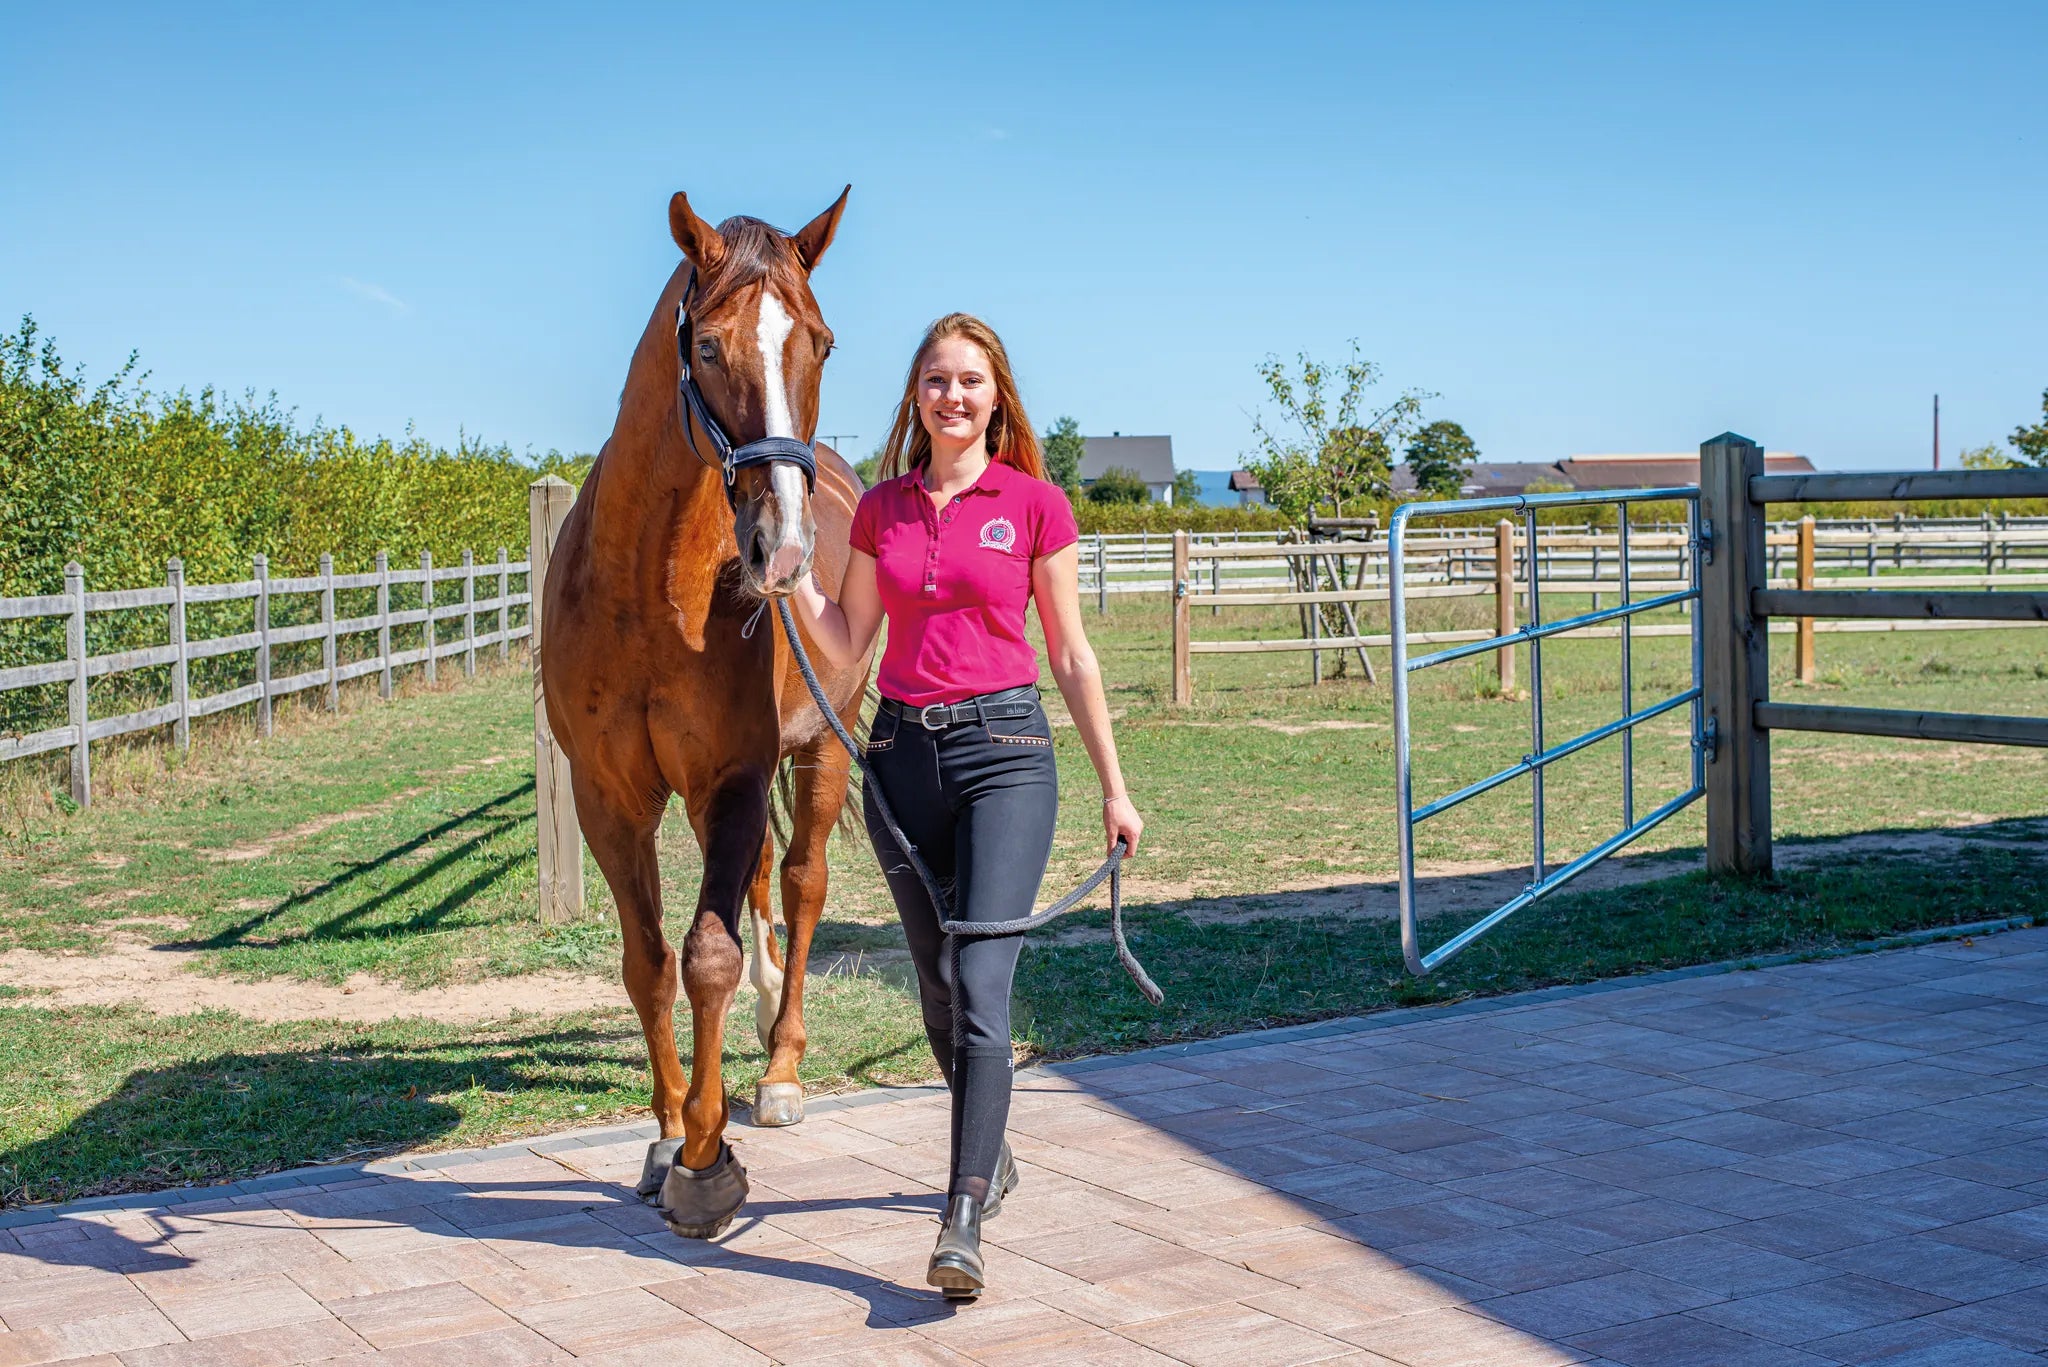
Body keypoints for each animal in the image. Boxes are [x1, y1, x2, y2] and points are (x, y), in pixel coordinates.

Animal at [539, 187, 871, 1237]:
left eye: (822, 342)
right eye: (712, 346)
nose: (784, 548)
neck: (654, 594)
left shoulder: (733, 779)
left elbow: (709, 957)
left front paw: (704, 1155)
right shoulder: (611, 798)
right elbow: (648, 964)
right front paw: (663, 1131)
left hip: (823, 751)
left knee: (800, 884)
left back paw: (783, 1068)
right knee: (764, 883)